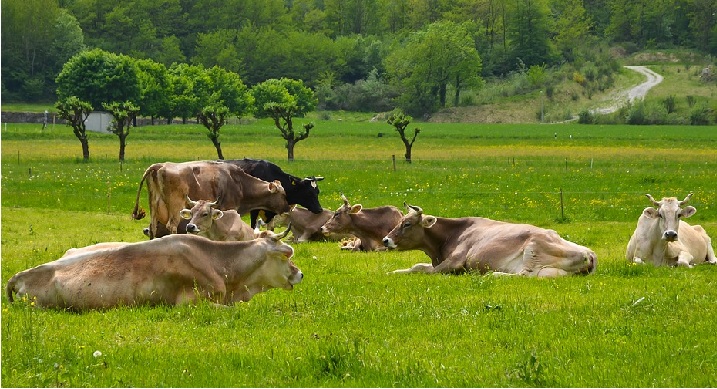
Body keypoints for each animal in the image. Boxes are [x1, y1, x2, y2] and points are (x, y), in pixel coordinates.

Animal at [130, 159, 290, 238]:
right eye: (283, 194)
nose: (289, 208)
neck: (239, 182)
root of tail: (160, 165)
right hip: (176, 207)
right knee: (171, 226)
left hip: (154, 207)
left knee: (153, 228)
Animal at [384, 203, 596, 276]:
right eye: (400, 221)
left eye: (407, 224)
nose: (386, 240)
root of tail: (589, 253)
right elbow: (418, 266)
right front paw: (395, 271)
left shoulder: (455, 262)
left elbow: (424, 271)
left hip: (532, 249)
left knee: (524, 275)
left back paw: (493, 275)